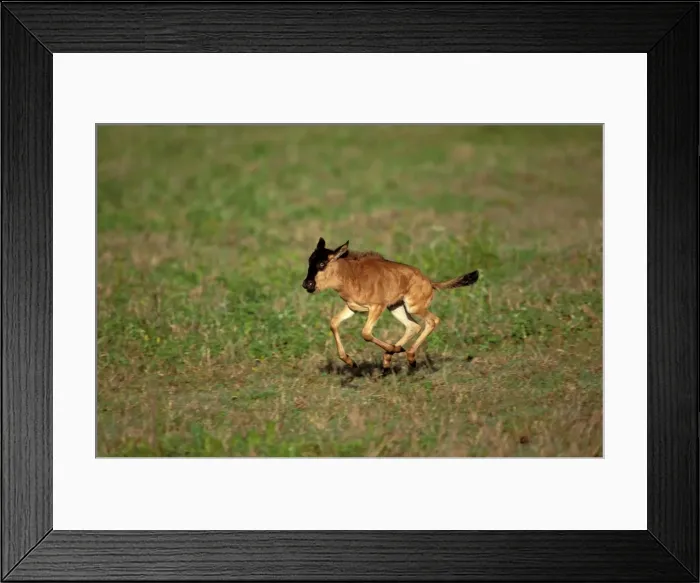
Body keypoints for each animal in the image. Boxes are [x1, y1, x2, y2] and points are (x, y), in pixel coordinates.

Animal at [302, 237, 479, 371]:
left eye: (322, 264)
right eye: (310, 260)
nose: (307, 284)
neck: (352, 275)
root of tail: (429, 282)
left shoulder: (377, 307)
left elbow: (366, 333)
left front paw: (393, 349)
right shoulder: (353, 308)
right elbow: (333, 323)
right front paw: (351, 362)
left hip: (413, 307)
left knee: (432, 321)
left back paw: (408, 357)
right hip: (396, 307)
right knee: (413, 326)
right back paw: (390, 359)